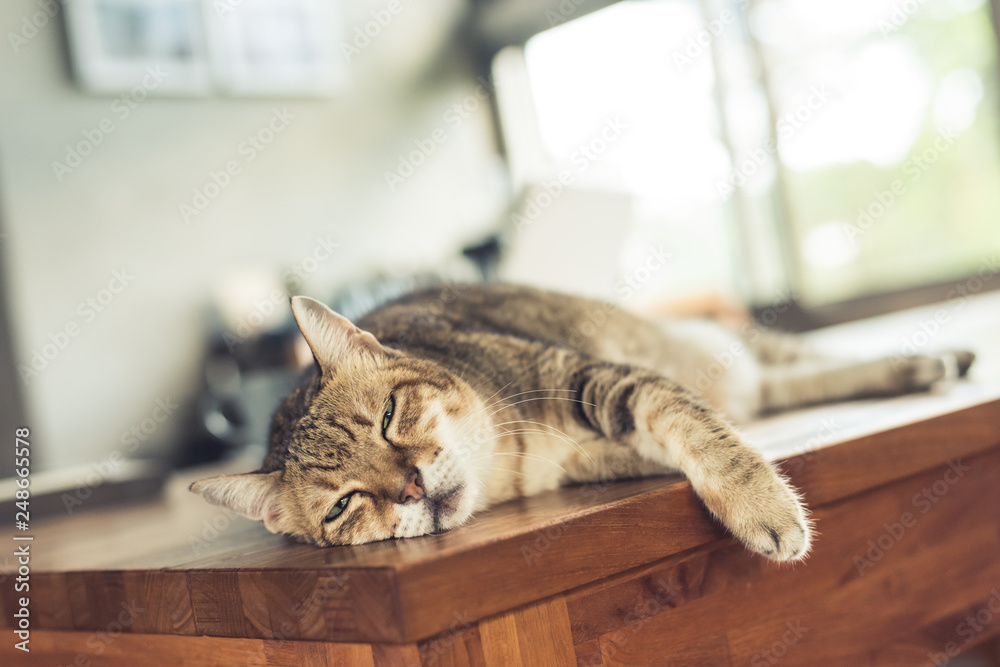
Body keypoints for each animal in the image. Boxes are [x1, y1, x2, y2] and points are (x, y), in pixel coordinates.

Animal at [191, 284, 972, 560]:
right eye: (343, 505)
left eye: (388, 416)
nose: (411, 486)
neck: (512, 462)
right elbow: (682, 434)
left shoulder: (594, 378)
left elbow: (701, 430)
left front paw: (765, 507)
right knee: (778, 383)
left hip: (710, 346)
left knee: (799, 358)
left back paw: (936, 356)